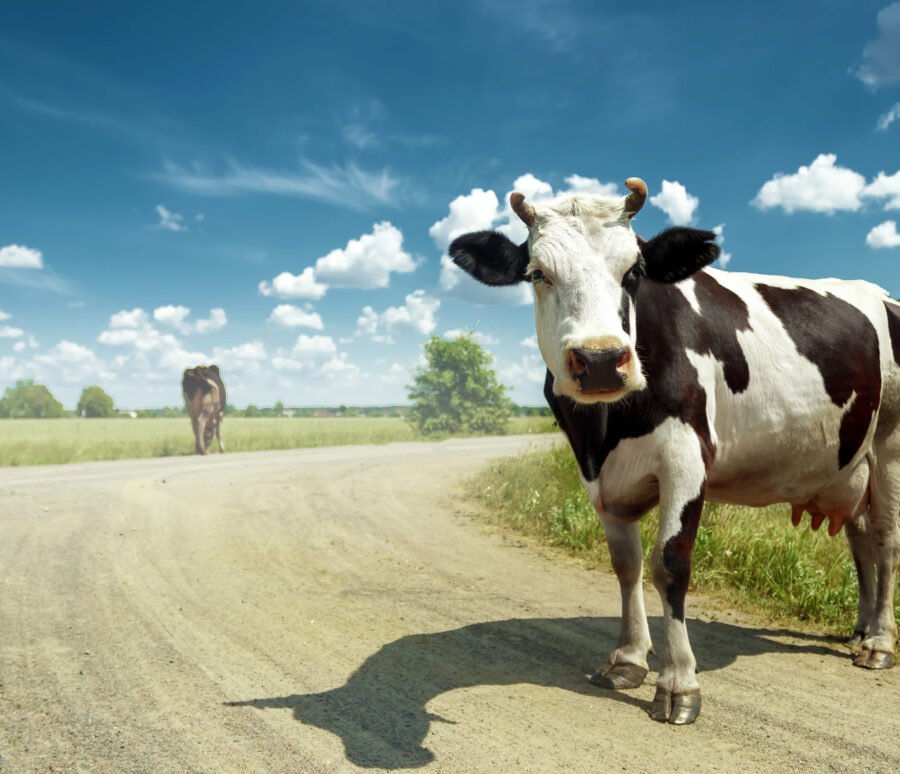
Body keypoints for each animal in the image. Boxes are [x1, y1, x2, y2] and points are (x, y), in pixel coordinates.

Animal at [449, 178, 900, 725]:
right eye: (537, 273)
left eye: (634, 272)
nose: (601, 361)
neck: (608, 428)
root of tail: (879, 292)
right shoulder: (597, 473)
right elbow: (626, 565)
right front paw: (627, 659)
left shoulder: (686, 457)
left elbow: (669, 564)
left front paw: (678, 682)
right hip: (850, 464)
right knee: (861, 540)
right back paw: (860, 630)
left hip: (892, 445)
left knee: (886, 540)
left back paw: (879, 642)